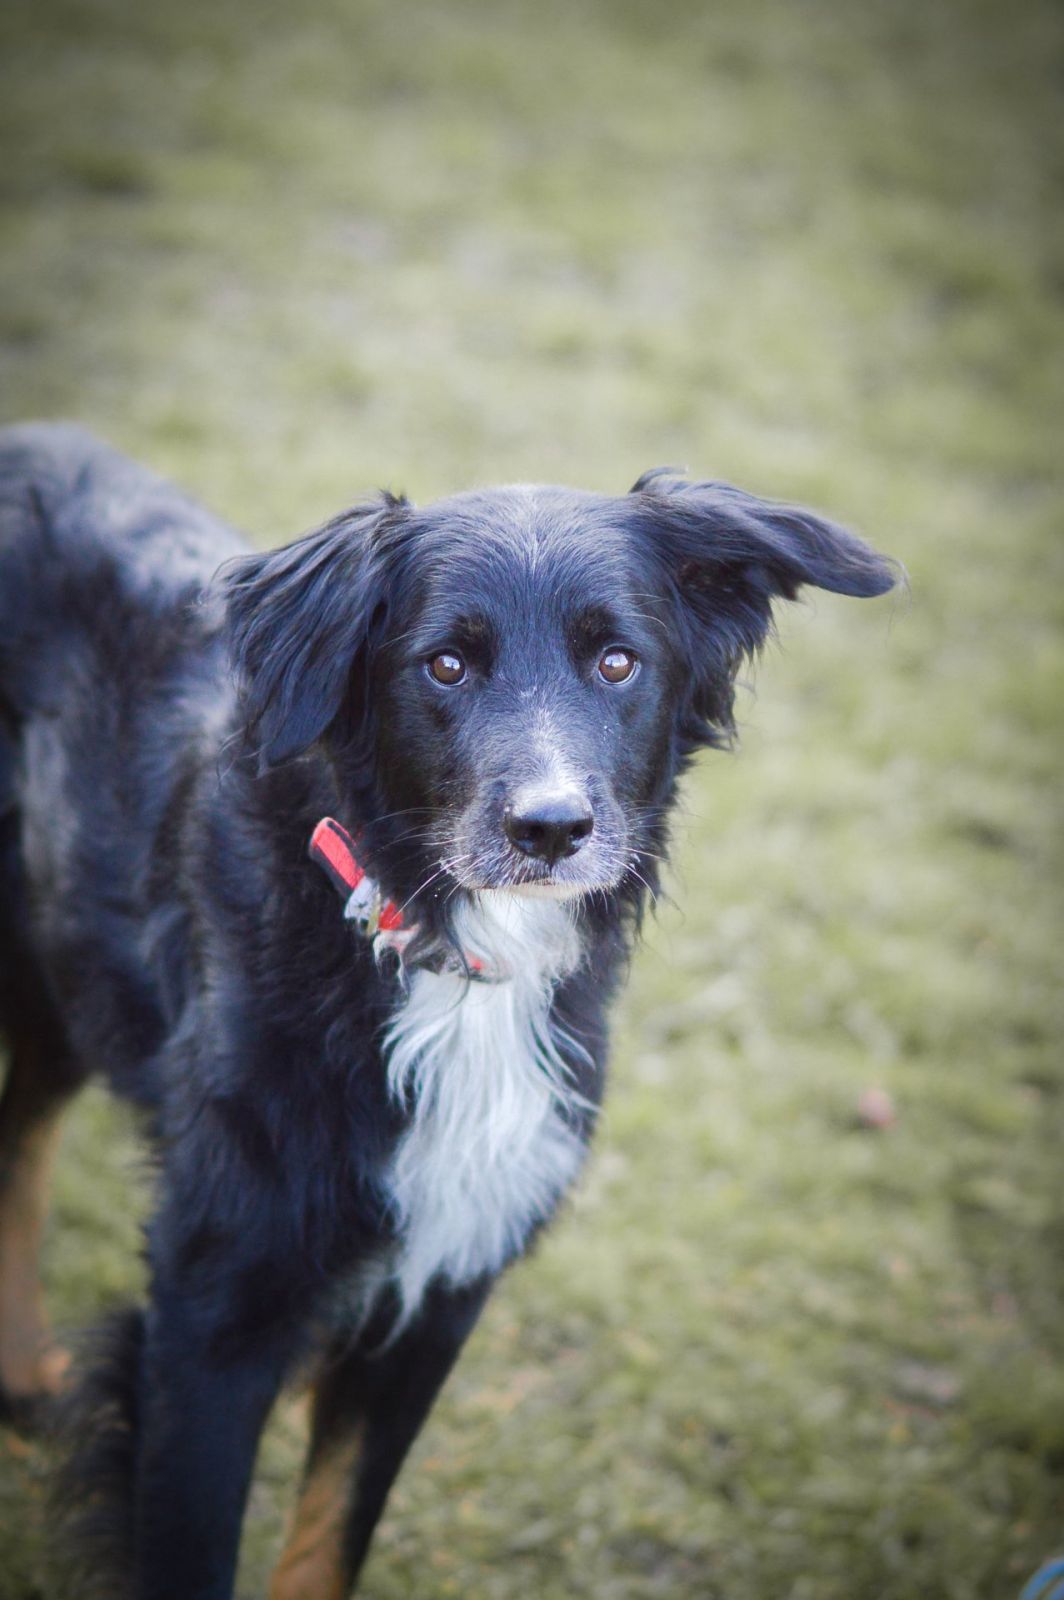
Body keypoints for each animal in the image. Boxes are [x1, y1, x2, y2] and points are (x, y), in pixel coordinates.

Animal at [0, 423, 895, 1598]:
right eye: (447, 664)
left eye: (617, 662)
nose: (550, 829)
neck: (446, 960)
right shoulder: (214, 1308)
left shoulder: (437, 1294)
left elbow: (330, 1543)